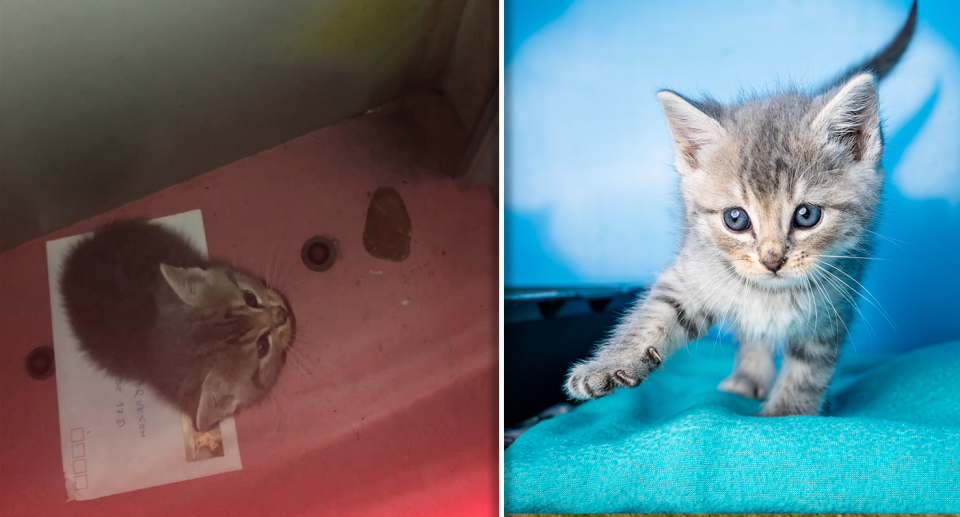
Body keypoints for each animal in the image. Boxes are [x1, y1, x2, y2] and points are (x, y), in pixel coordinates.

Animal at [568, 2, 920, 416]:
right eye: (735, 218)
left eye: (806, 215)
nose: (772, 260)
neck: (773, 294)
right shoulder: (694, 272)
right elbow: (655, 313)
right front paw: (606, 365)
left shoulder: (834, 305)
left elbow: (808, 369)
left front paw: (785, 414)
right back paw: (747, 375)